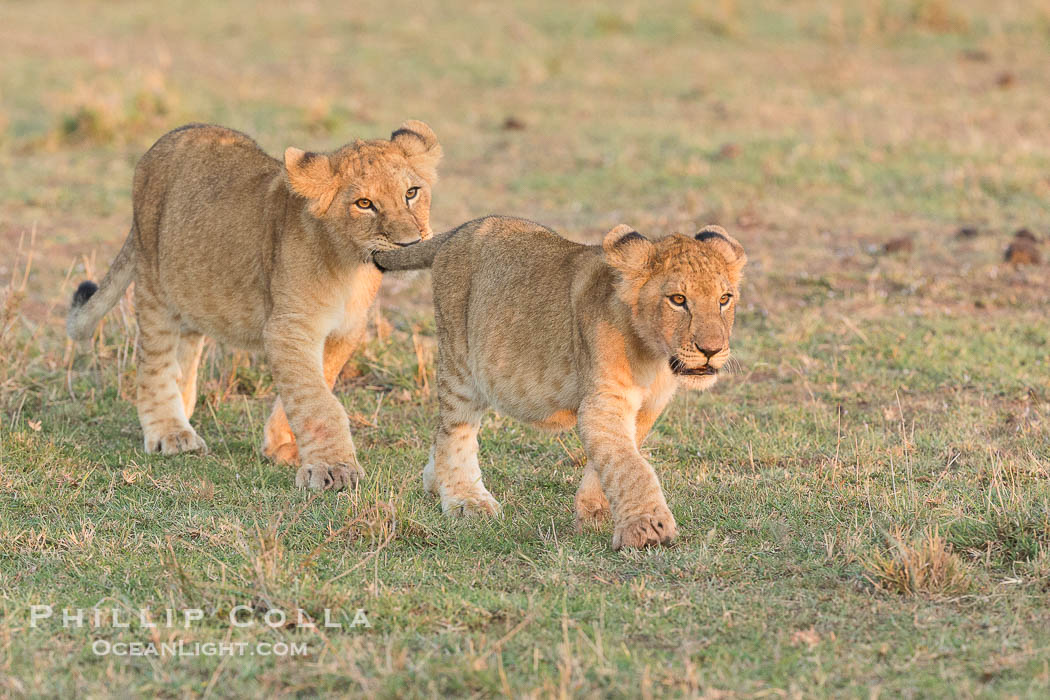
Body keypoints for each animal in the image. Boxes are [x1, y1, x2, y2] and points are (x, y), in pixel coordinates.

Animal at [66, 120, 442, 490]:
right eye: (364, 203)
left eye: (411, 193)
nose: (410, 242)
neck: (353, 268)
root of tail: (172, 135)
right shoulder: (288, 328)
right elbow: (316, 400)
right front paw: (333, 468)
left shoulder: (345, 330)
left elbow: (315, 384)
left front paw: (282, 447)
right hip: (153, 280)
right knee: (154, 361)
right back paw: (170, 432)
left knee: (185, 345)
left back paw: (183, 408)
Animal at [374, 216, 747, 549]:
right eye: (678, 300)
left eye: (724, 299)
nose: (711, 350)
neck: (656, 358)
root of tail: (461, 230)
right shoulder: (602, 402)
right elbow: (630, 466)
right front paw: (648, 529)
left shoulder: (646, 409)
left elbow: (613, 458)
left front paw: (593, 512)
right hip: (460, 362)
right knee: (453, 432)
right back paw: (467, 500)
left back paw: (434, 481)